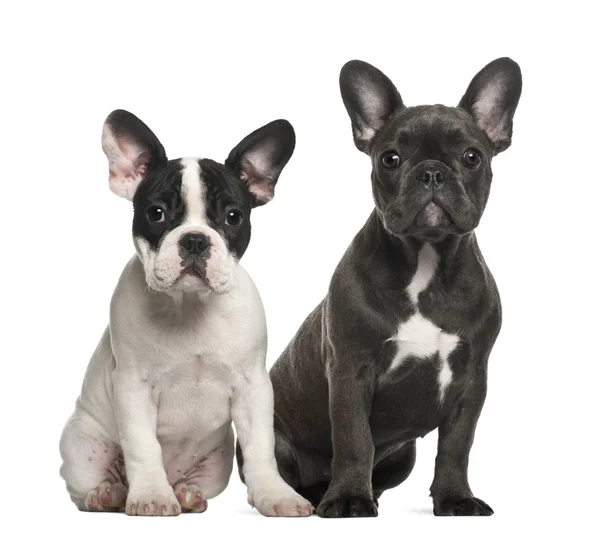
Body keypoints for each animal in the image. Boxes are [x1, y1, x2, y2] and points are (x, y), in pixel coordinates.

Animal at [59, 108, 314, 516]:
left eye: (233, 216)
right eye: (156, 213)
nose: (195, 239)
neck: (189, 305)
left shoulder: (253, 388)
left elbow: (261, 448)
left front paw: (276, 495)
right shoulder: (132, 387)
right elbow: (142, 446)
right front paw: (151, 495)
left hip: (218, 464)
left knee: (197, 481)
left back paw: (186, 495)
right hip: (80, 446)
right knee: (88, 490)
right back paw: (111, 494)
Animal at [237, 57, 524, 516]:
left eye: (472, 156)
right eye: (390, 158)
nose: (431, 171)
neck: (426, 262)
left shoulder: (472, 379)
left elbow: (457, 445)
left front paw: (455, 498)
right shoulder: (350, 370)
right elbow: (354, 438)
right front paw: (349, 499)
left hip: (405, 456)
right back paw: (322, 497)